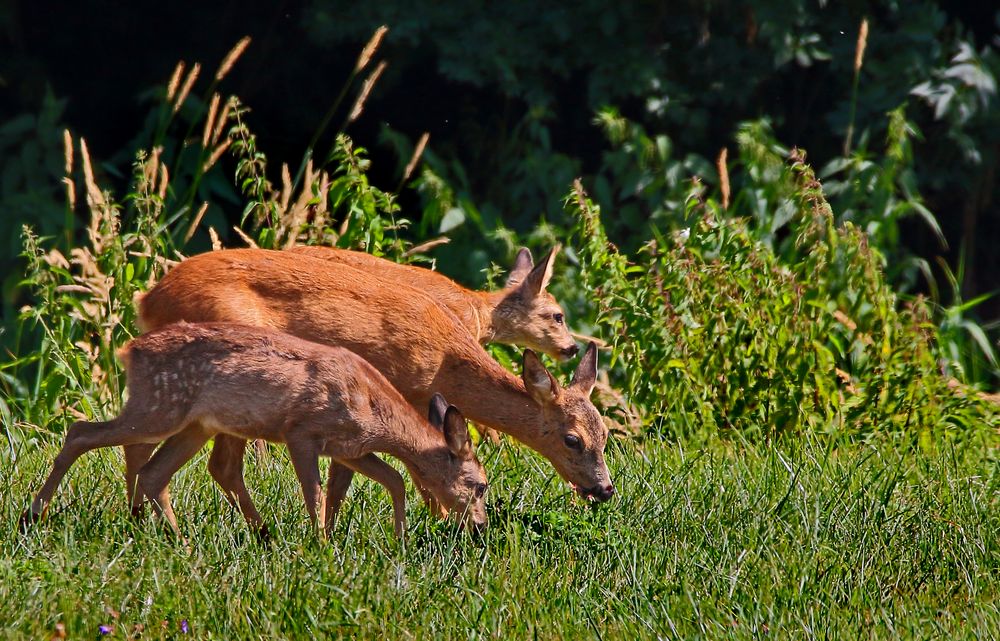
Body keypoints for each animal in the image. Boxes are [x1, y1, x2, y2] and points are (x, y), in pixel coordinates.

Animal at [24, 322, 488, 536]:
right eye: (480, 484)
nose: (481, 524)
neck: (372, 409)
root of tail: (129, 350)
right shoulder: (302, 431)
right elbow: (314, 491)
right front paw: (320, 543)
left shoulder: (348, 449)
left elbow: (394, 479)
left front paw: (398, 538)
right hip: (160, 409)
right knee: (80, 431)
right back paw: (33, 514)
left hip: (193, 425)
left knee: (153, 473)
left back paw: (180, 539)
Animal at [134, 248, 612, 528]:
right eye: (572, 439)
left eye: (606, 435)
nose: (604, 489)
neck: (447, 359)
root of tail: (148, 299)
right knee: (220, 465)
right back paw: (258, 533)